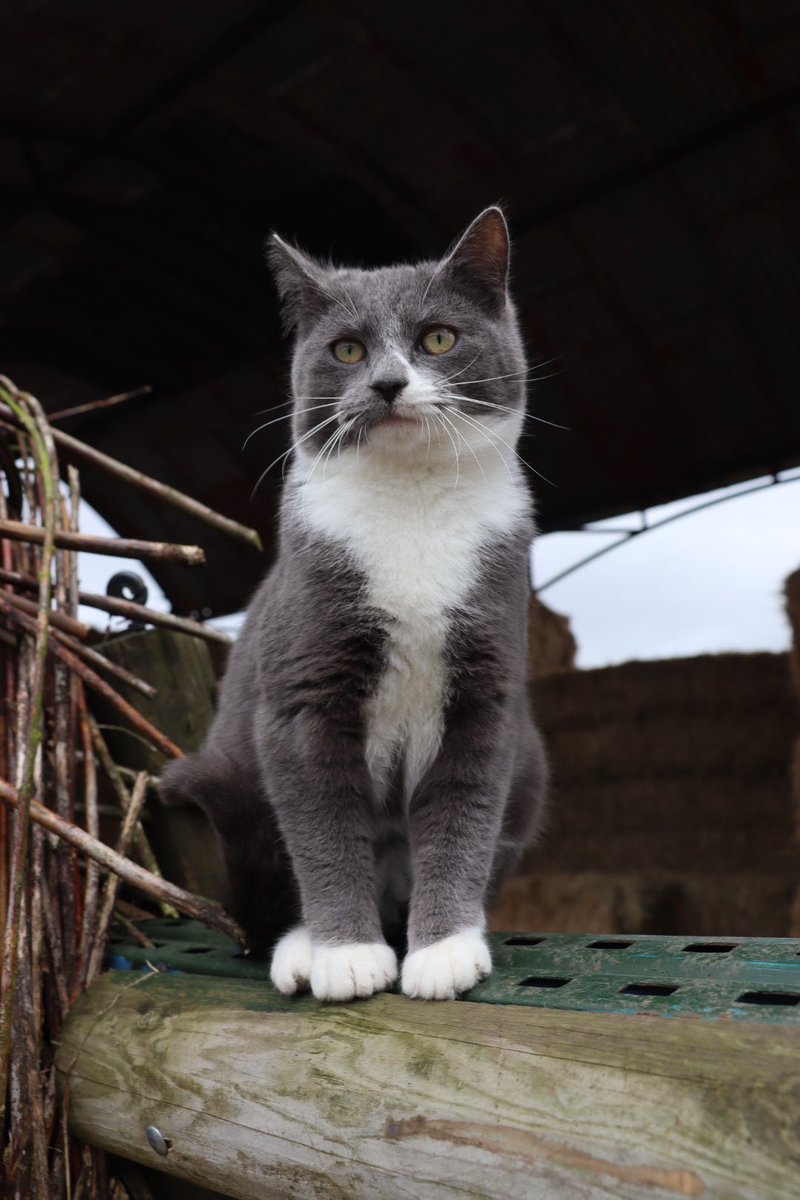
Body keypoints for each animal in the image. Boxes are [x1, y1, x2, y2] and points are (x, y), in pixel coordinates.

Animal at [163, 208, 551, 1003]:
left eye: (438, 338)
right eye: (347, 349)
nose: (387, 382)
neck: (412, 505)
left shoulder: (487, 688)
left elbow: (464, 811)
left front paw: (443, 948)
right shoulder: (304, 692)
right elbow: (323, 824)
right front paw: (345, 953)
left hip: (531, 765)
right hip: (236, 769)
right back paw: (300, 946)